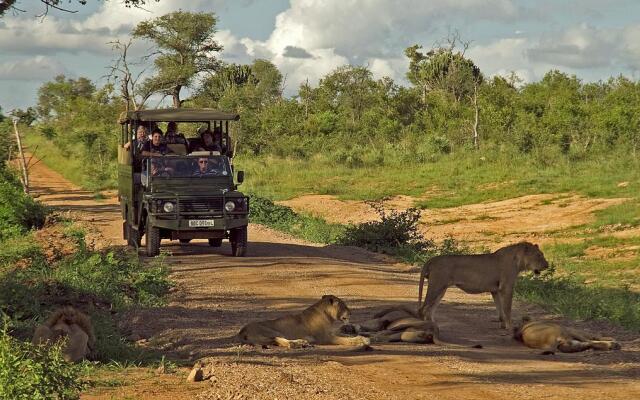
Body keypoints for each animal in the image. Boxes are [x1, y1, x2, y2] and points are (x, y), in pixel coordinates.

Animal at [239, 296, 370, 348]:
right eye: (344, 305)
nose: (351, 313)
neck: (328, 316)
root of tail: (241, 331)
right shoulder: (325, 337)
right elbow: (345, 340)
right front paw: (362, 340)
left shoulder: (331, 332)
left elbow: (345, 334)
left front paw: (361, 334)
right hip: (272, 330)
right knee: (282, 341)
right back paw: (300, 343)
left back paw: (303, 343)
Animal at [416, 242, 552, 330]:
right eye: (539, 255)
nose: (547, 265)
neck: (518, 261)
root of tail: (432, 259)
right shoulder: (507, 287)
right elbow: (507, 308)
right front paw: (510, 327)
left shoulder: (495, 290)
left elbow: (500, 308)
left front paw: (503, 325)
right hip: (436, 287)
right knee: (423, 309)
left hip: (441, 290)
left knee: (430, 310)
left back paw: (434, 326)